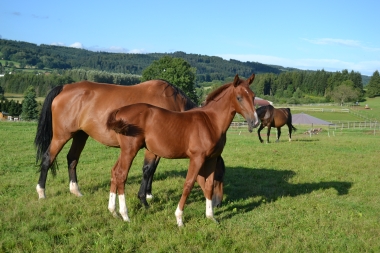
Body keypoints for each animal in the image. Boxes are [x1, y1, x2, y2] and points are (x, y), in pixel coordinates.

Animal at [33, 79, 226, 208]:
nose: (217, 203)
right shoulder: (151, 149)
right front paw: (144, 198)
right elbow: (147, 170)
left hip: (80, 135)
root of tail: (65, 87)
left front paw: (149, 194)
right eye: (219, 174)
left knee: (72, 159)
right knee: (47, 158)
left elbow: (152, 170)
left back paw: (75, 190)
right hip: (62, 135)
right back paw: (41, 192)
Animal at [107, 73, 262, 225]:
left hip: (124, 151)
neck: (211, 122)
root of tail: (120, 111)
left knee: (115, 171)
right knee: (121, 175)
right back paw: (125, 215)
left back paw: (113, 211)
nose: (255, 122)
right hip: (130, 150)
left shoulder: (211, 159)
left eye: (253, 96)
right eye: (239, 97)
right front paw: (179, 218)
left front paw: (211, 216)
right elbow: (189, 184)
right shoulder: (197, 158)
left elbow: (208, 185)